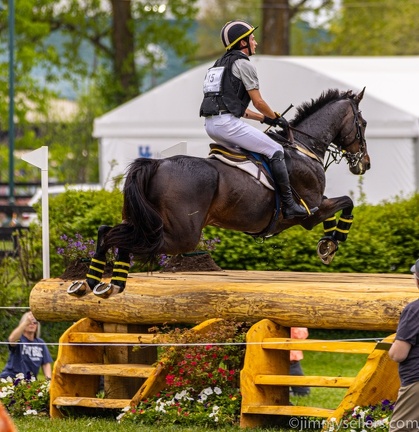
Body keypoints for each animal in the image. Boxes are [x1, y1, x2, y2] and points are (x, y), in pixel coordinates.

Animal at [68, 87, 370, 296]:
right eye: (363, 124)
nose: (364, 163)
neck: (304, 147)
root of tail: (157, 164)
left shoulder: (317, 206)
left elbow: (340, 206)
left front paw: (328, 242)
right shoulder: (310, 211)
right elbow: (347, 202)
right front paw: (332, 243)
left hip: (148, 221)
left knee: (109, 231)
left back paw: (95, 282)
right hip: (182, 236)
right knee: (126, 239)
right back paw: (106, 283)